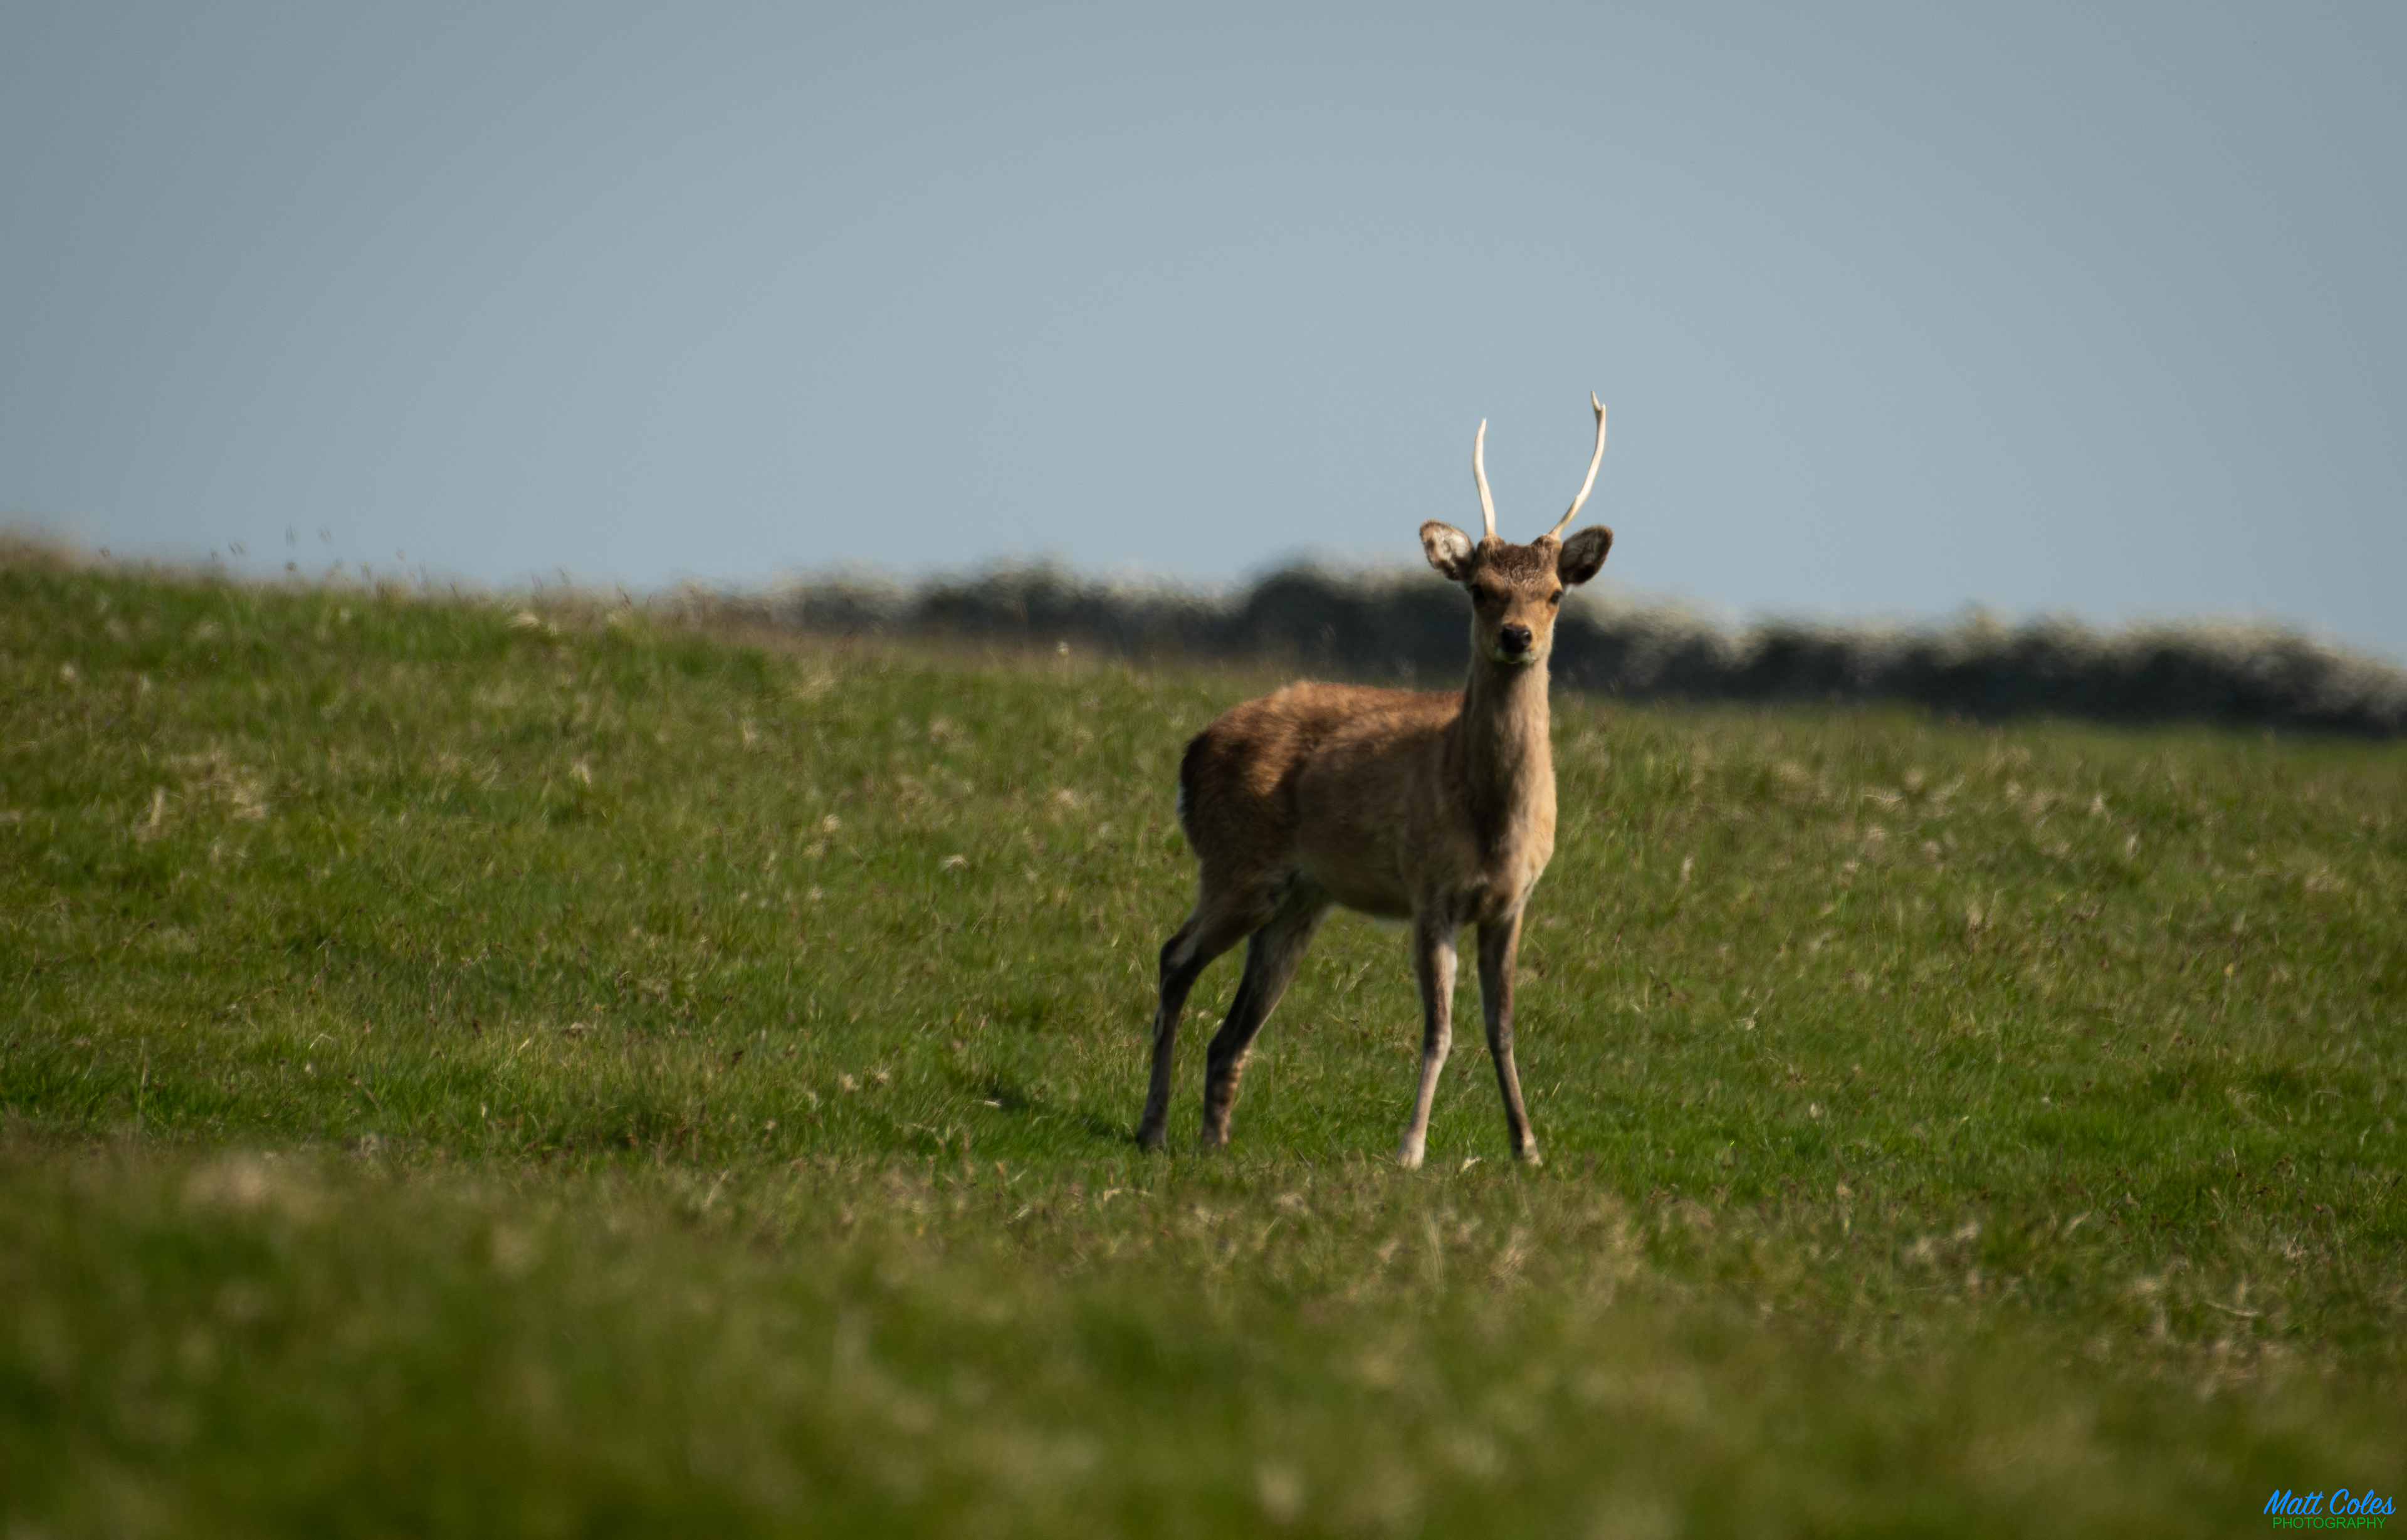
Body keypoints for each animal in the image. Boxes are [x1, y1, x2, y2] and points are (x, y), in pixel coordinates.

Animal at [1137, 397, 1614, 1168]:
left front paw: (1528, 1149)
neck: (1490, 824)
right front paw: (1411, 1148)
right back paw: (1152, 1128)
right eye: (1479, 591)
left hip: (1302, 898)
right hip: (1237, 863)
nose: (1516, 636)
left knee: (1231, 1029)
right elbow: (1439, 1029)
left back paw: (1217, 1142)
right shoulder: (1429, 889)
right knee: (1174, 958)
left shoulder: (1513, 902)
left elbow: (1503, 1028)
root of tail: (1192, 752)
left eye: (1554, 594)